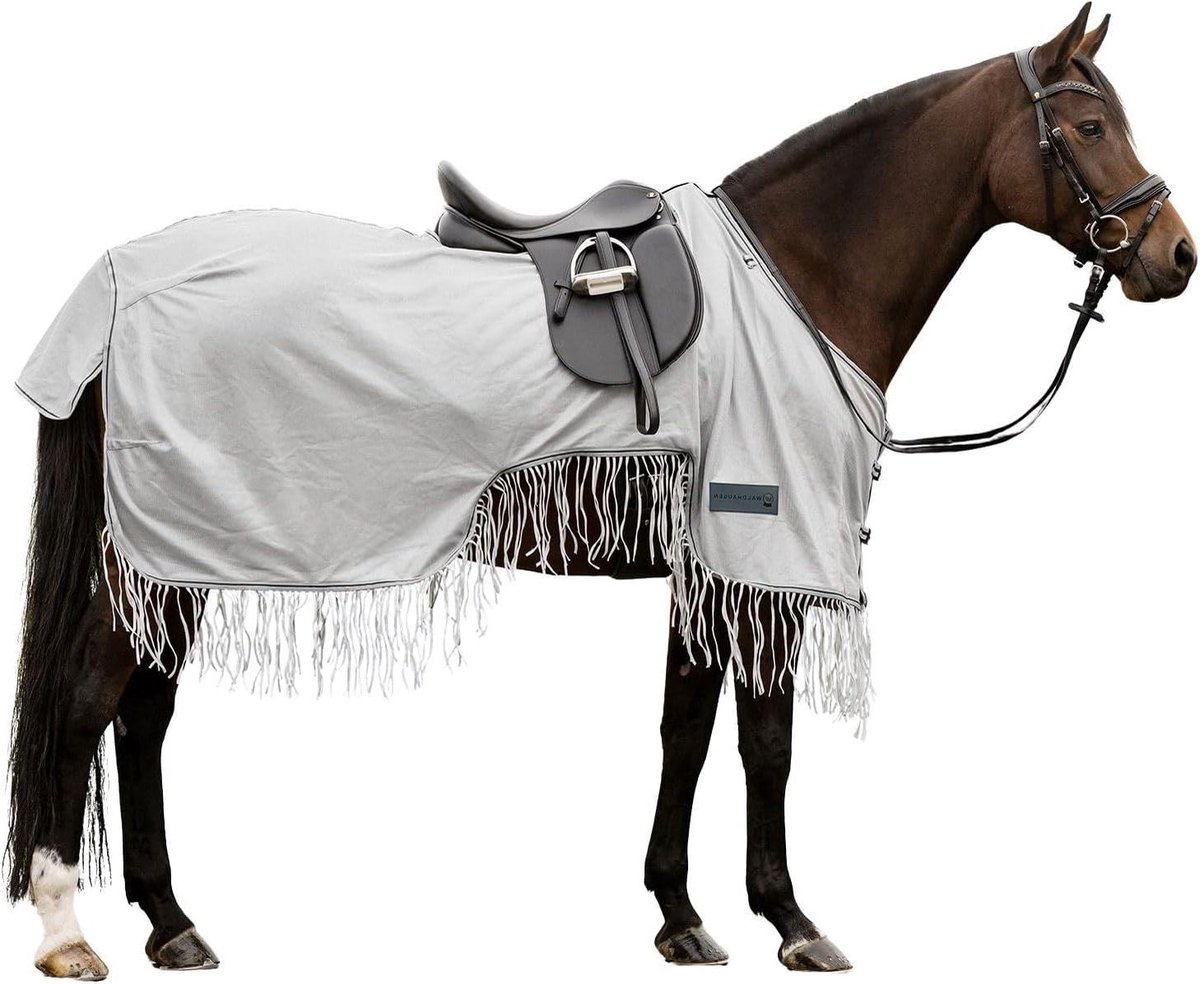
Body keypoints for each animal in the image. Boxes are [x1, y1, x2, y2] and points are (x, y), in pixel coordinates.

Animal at [4, 4, 1193, 979]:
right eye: (1090, 127)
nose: (1175, 254)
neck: (795, 277)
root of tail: (111, 284)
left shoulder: (707, 563)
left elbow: (686, 728)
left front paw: (681, 915)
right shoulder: (761, 555)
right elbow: (766, 740)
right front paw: (792, 921)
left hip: (176, 550)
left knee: (143, 716)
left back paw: (171, 922)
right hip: (156, 545)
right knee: (90, 704)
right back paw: (69, 932)